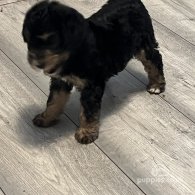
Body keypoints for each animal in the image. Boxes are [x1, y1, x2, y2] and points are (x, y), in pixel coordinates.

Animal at [22, 0, 166, 143]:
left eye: (50, 40)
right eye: (27, 40)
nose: (36, 63)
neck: (73, 53)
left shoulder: (91, 84)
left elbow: (89, 111)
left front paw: (86, 132)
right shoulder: (60, 80)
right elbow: (54, 100)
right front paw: (46, 118)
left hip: (143, 41)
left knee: (154, 59)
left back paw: (156, 85)